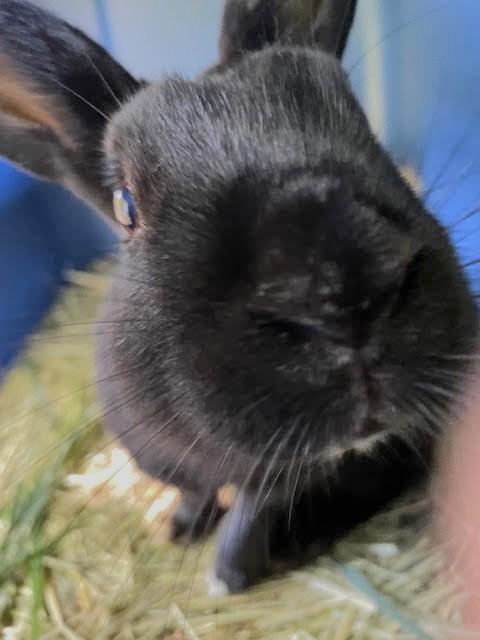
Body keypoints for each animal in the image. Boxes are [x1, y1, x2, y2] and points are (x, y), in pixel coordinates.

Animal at [0, 0, 477, 594]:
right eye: (125, 205)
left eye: (361, 123)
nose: (344, 294)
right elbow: (197, 491)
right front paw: (182, 529)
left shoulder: (276, 477)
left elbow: (249, 517)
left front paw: (227, 577)